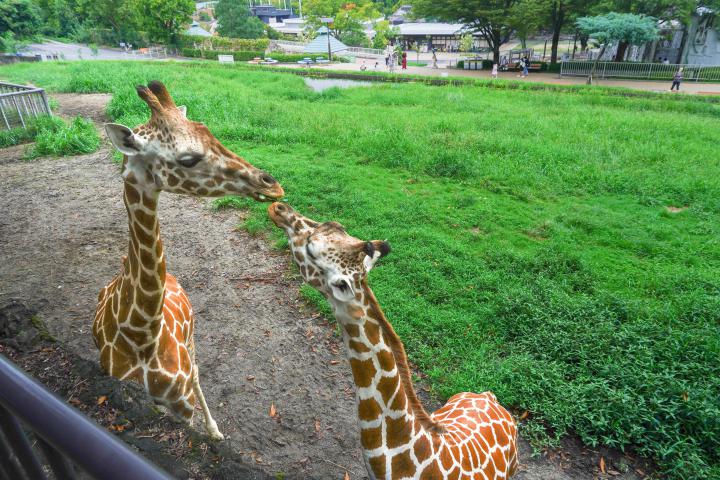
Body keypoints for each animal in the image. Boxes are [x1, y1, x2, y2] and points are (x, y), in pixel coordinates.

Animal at [94, 81, 286, 438]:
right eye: (188, 159)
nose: (272, 185)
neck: (139, 337)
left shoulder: (182, 400)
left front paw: (212, 432)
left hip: (193, 337)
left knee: (197, 372)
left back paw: (216, 430)